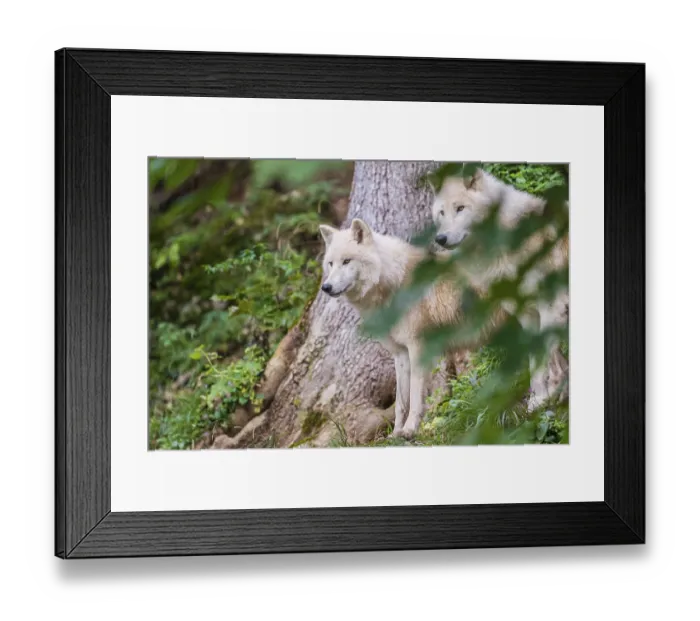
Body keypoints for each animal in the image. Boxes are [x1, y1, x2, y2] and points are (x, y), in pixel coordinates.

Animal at [319, 219, 463, 439]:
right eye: (331, 263)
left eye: (347, 261)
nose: (326, 287)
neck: (394, 283)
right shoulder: (400, 353)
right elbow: (401, 403)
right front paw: (396, 433)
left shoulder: (417, 346)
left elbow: (415, 395)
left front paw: (410, 430)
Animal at [431, 168, 570, 410]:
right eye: (441, 212)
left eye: (460, 208)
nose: (441, 238)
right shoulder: (527, 315)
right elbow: (535, 362)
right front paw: (538, 402)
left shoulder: (551, 307)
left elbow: (547, 359)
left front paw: (549, 399)